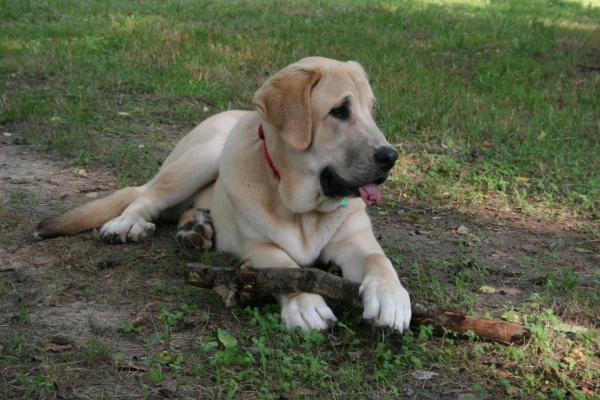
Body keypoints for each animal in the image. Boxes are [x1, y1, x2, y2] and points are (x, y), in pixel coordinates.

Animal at [35, 57, 412, 332]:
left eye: (372, 110)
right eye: (339, 111)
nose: (390, 157)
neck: (301, 206)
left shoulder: (354, 241)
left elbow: (379, 260)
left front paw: (391, 296)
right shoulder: (259, 249)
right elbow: (287, 267)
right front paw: (305, 303)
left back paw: (196, 229)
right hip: (204, 155)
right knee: (147, 197)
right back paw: (128, 225)